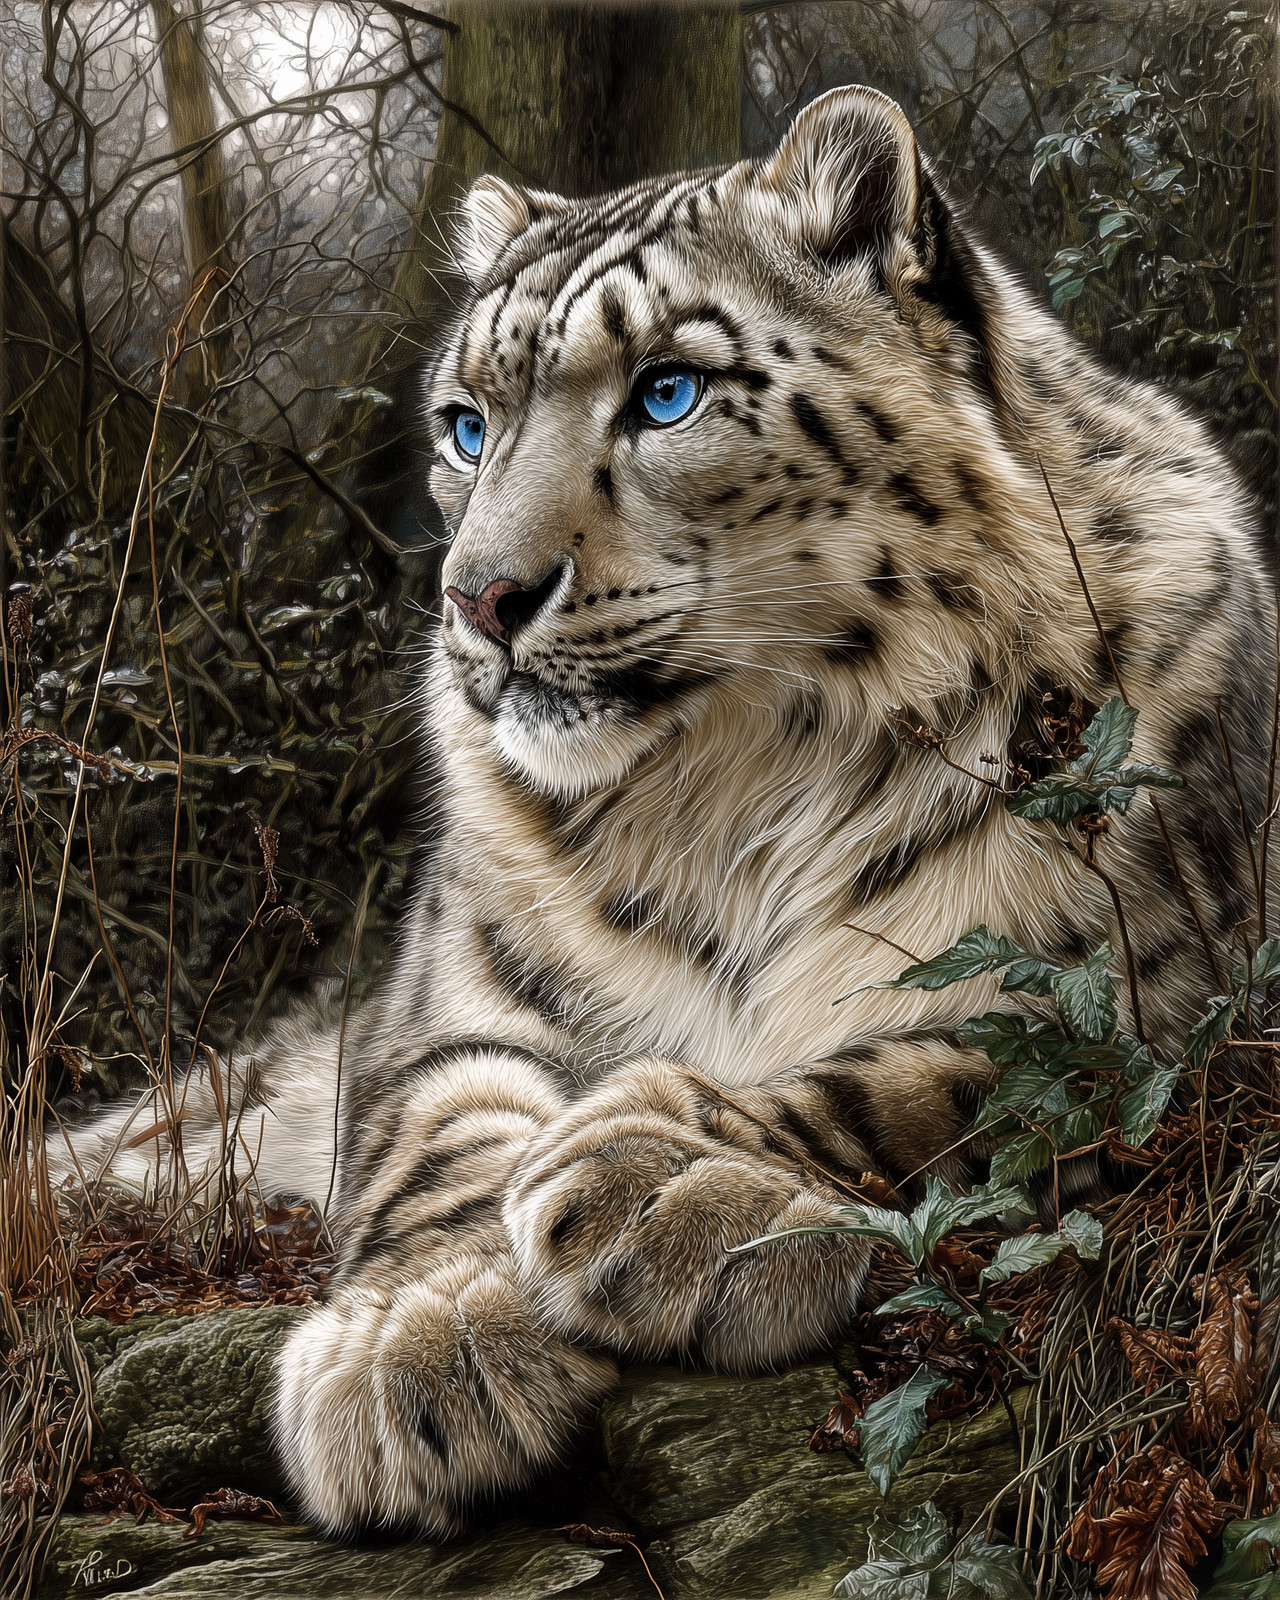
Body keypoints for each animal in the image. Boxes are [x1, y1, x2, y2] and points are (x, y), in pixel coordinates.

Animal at [56, 85, 1275, 1540]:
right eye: (468, 423)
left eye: (667, 392)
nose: (479, 596)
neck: (735, 792)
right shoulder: (450, 1003)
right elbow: (445, 1130)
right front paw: (423, 1342)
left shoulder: (1159, 1004)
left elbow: (942, 1080)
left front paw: (661, 1181)